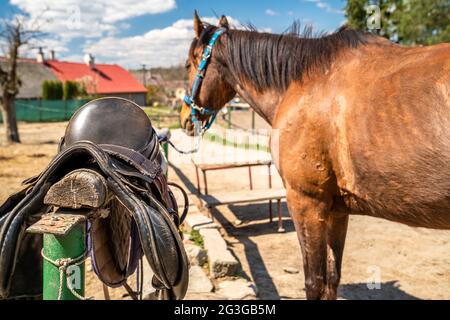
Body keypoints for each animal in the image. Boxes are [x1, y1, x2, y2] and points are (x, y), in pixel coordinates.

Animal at [179, 11, 450, 298]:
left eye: (187, 65)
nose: (185, 117)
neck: (305, 82)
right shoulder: (337, 208)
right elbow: (332, 278)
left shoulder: (306, 201)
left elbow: (314, 281)